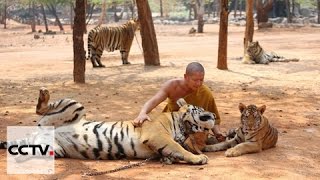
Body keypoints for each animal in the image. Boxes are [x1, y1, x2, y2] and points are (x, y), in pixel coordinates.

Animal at [0, 87, 215, 165]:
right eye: (202, 109)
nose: (213, 114)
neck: (185, 126)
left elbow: (174, 151)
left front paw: (170, 159)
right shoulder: (157, 135)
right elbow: (179, 147)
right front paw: (199, 158)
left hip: (51, 149)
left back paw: (19, 158)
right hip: (74, 105)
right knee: (42, 108)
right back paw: (44, 95)